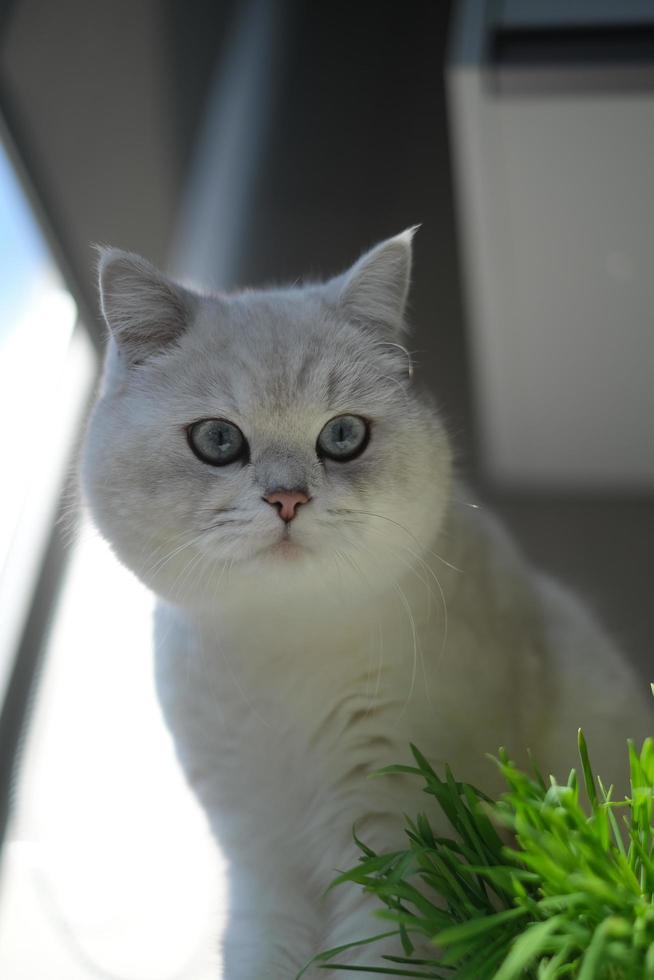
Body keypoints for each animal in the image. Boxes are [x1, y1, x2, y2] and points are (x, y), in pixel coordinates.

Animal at [79, 232, 652, 980]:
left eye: (343, 436)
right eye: (219, 440)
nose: (287, 499)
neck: (282, 656)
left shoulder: (401, 847)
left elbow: (376, 952)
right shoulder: (262, 871)